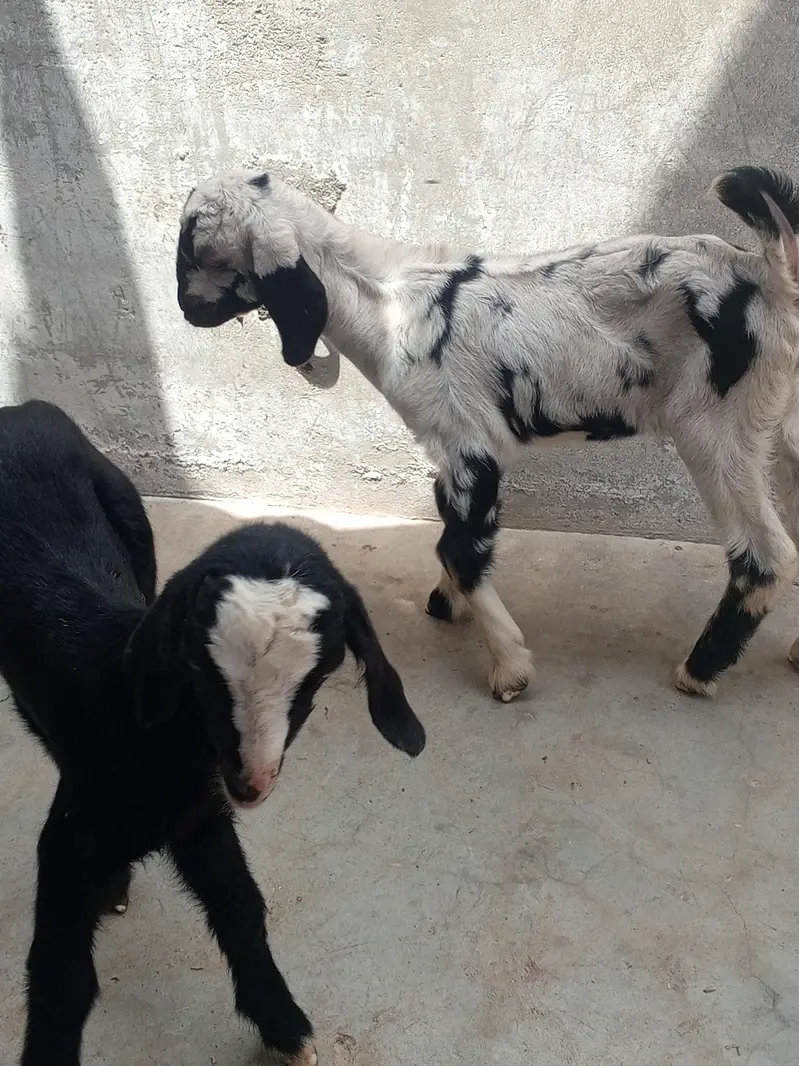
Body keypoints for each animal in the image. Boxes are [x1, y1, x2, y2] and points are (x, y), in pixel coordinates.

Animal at [0, 400, 425, 1066]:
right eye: (198, 670)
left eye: (317, 677)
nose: (250, 783)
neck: (155, 748)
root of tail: (20, 409)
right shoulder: (72, 838)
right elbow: (61, 979)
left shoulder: (200, 817)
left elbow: (241, 907)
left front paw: (285, 1028)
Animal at [175, 166, 799, 702]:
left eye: (193, 246)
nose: (185, 311)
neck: (387, 307)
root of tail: (769, 274)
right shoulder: (449, 453)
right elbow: (450, 530)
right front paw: (444, 603)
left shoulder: (466, 445)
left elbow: (460, 547)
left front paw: (508, 667)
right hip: (783, 427)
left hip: (717, 427)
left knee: (764, 555)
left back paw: (699, 671)